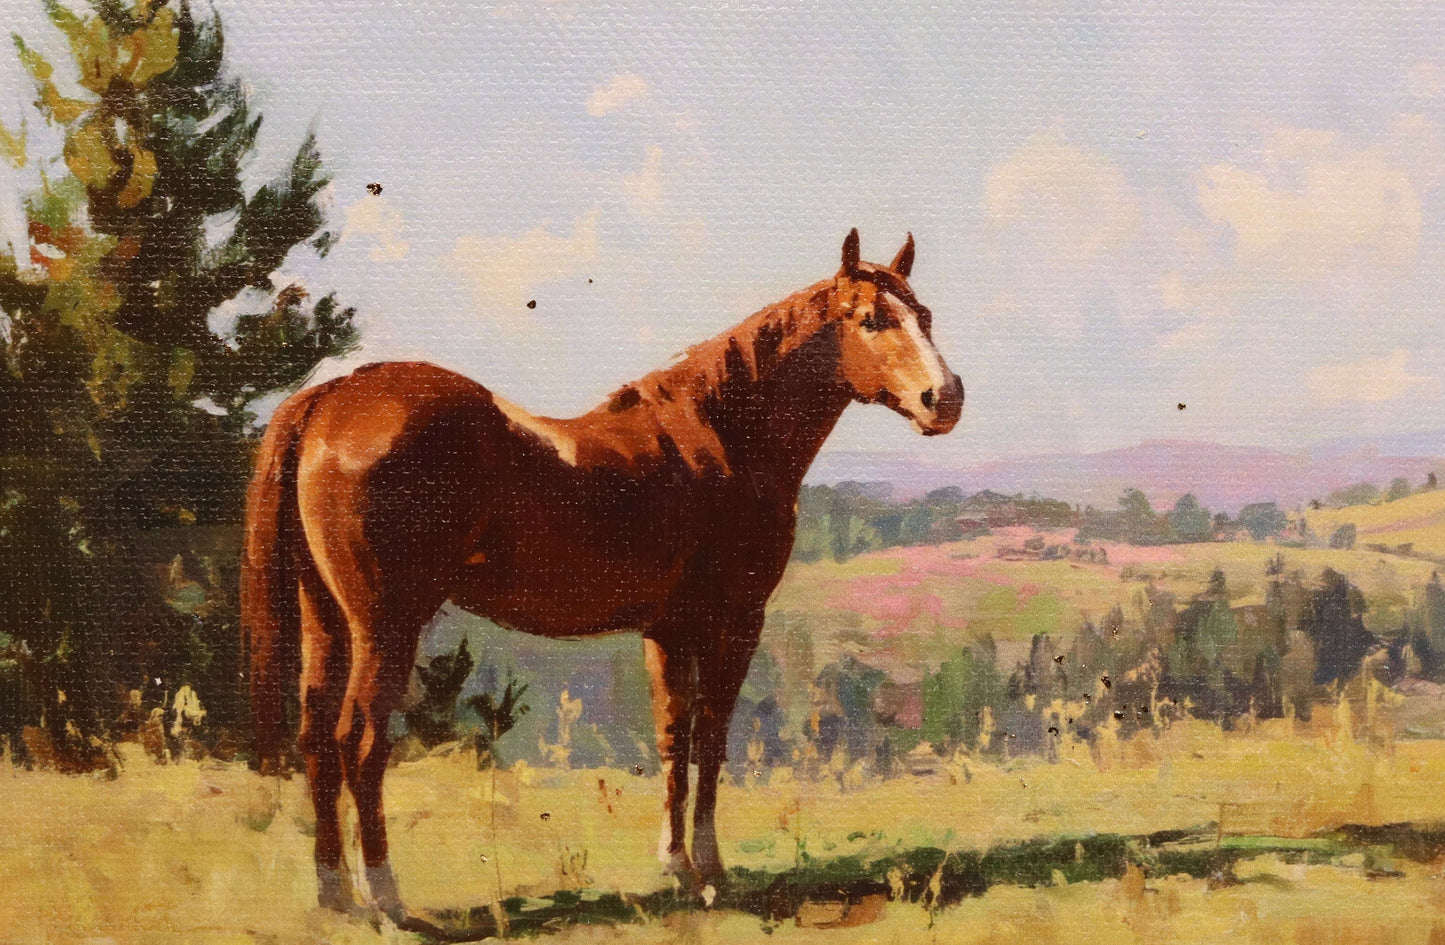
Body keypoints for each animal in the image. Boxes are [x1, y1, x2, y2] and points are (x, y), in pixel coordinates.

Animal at [240, 229, 964, 921]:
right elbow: (711, 738)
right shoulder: (734, 621)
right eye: (870, 319)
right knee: (358, 743)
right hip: (385, 626)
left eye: (925, 314)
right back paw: (385, 896)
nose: (945, 398)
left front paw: (676, 865)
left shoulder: (666, 628)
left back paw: (335, 891)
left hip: (327, 620)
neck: (724, 434)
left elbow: (673, 737)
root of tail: (330, 397)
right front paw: (711, 872)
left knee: (315, 739)